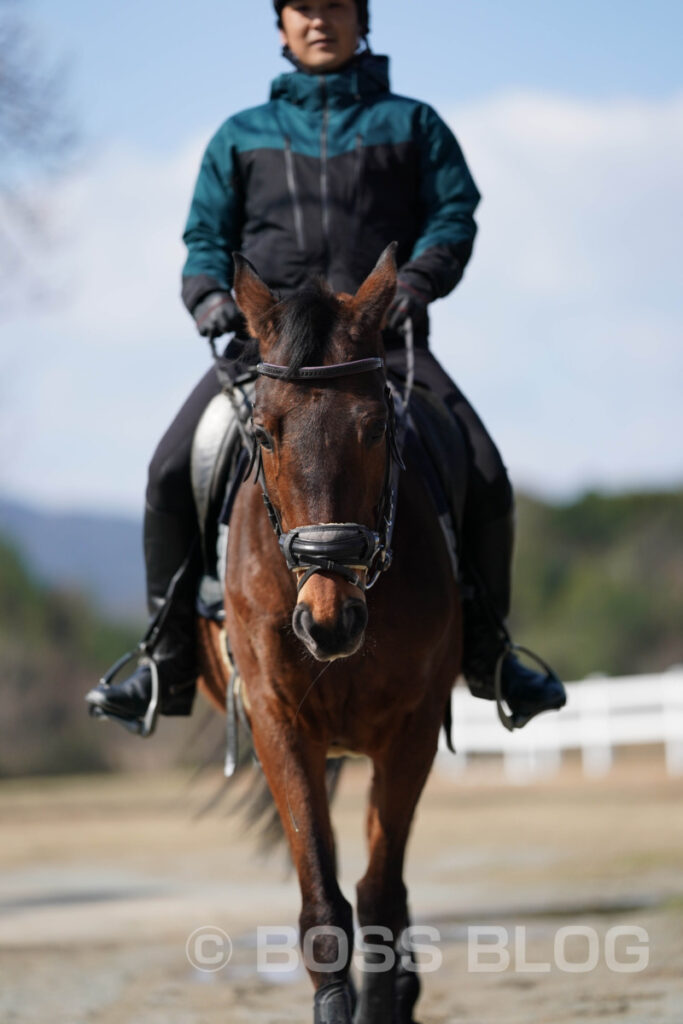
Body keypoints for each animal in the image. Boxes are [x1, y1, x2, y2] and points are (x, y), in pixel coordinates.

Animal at [197, 241, 462, 1024]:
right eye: (263, 431)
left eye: (375, 426)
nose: (327, 618)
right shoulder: (278, 724)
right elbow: (322, 901)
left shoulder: (410, 729)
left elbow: (379, 897)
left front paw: (386, 998)